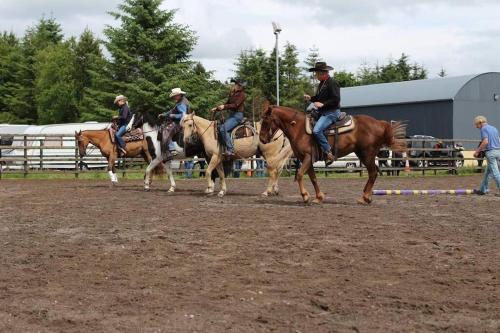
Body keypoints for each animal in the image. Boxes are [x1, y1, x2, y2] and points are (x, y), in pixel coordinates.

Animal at [260, 105, 408, 204]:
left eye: (266, 121)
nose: (261, 139)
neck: (298, 128)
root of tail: (380, 124)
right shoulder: (307, 159)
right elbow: (313, 178)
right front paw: (319, 197)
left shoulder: (308, 157)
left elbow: (300, 175)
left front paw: (305, 196)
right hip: (363, 155)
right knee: (374, 172)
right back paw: (366, 196)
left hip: (367, 154)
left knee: (373, 172)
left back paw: (365, 197)